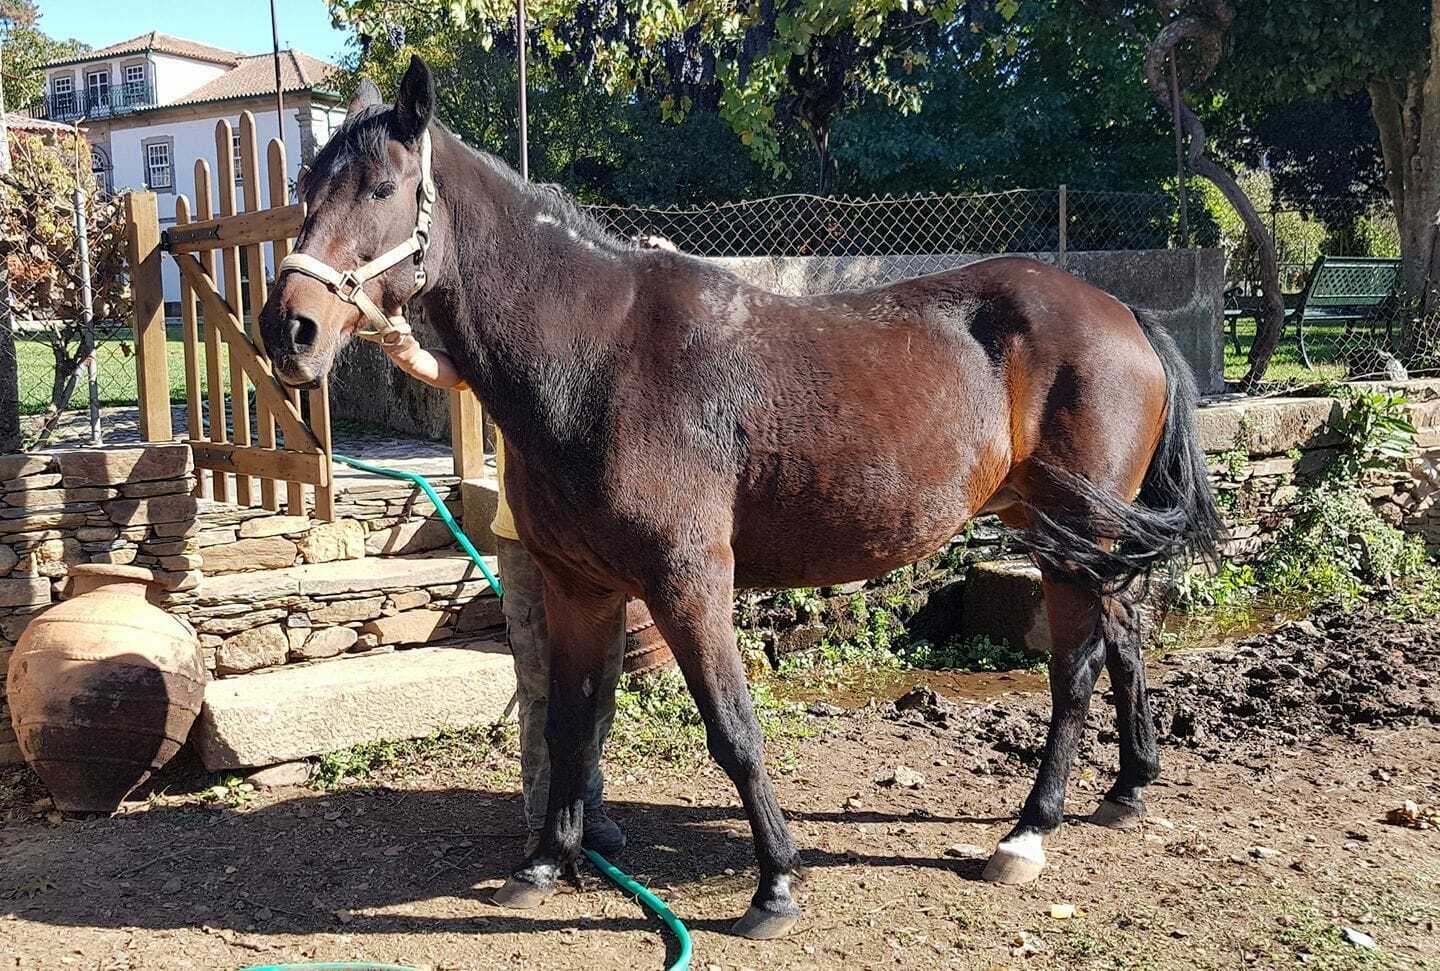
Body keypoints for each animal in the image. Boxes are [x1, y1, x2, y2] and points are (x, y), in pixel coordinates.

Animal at [259, 56, 1215, 933]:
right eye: (305, 187)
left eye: (382, 187)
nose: (287, 329)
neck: (595, 356)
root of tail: (1121, 313)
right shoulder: (579, 586)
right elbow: (570, 722)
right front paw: (542, 864)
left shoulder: (689, 582)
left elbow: (733, 730)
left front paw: (776, 884)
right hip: (1072, 537)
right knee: (1126, 638)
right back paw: (1128, 787)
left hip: (1070, 540)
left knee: (1075, 670)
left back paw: (1026, 833)